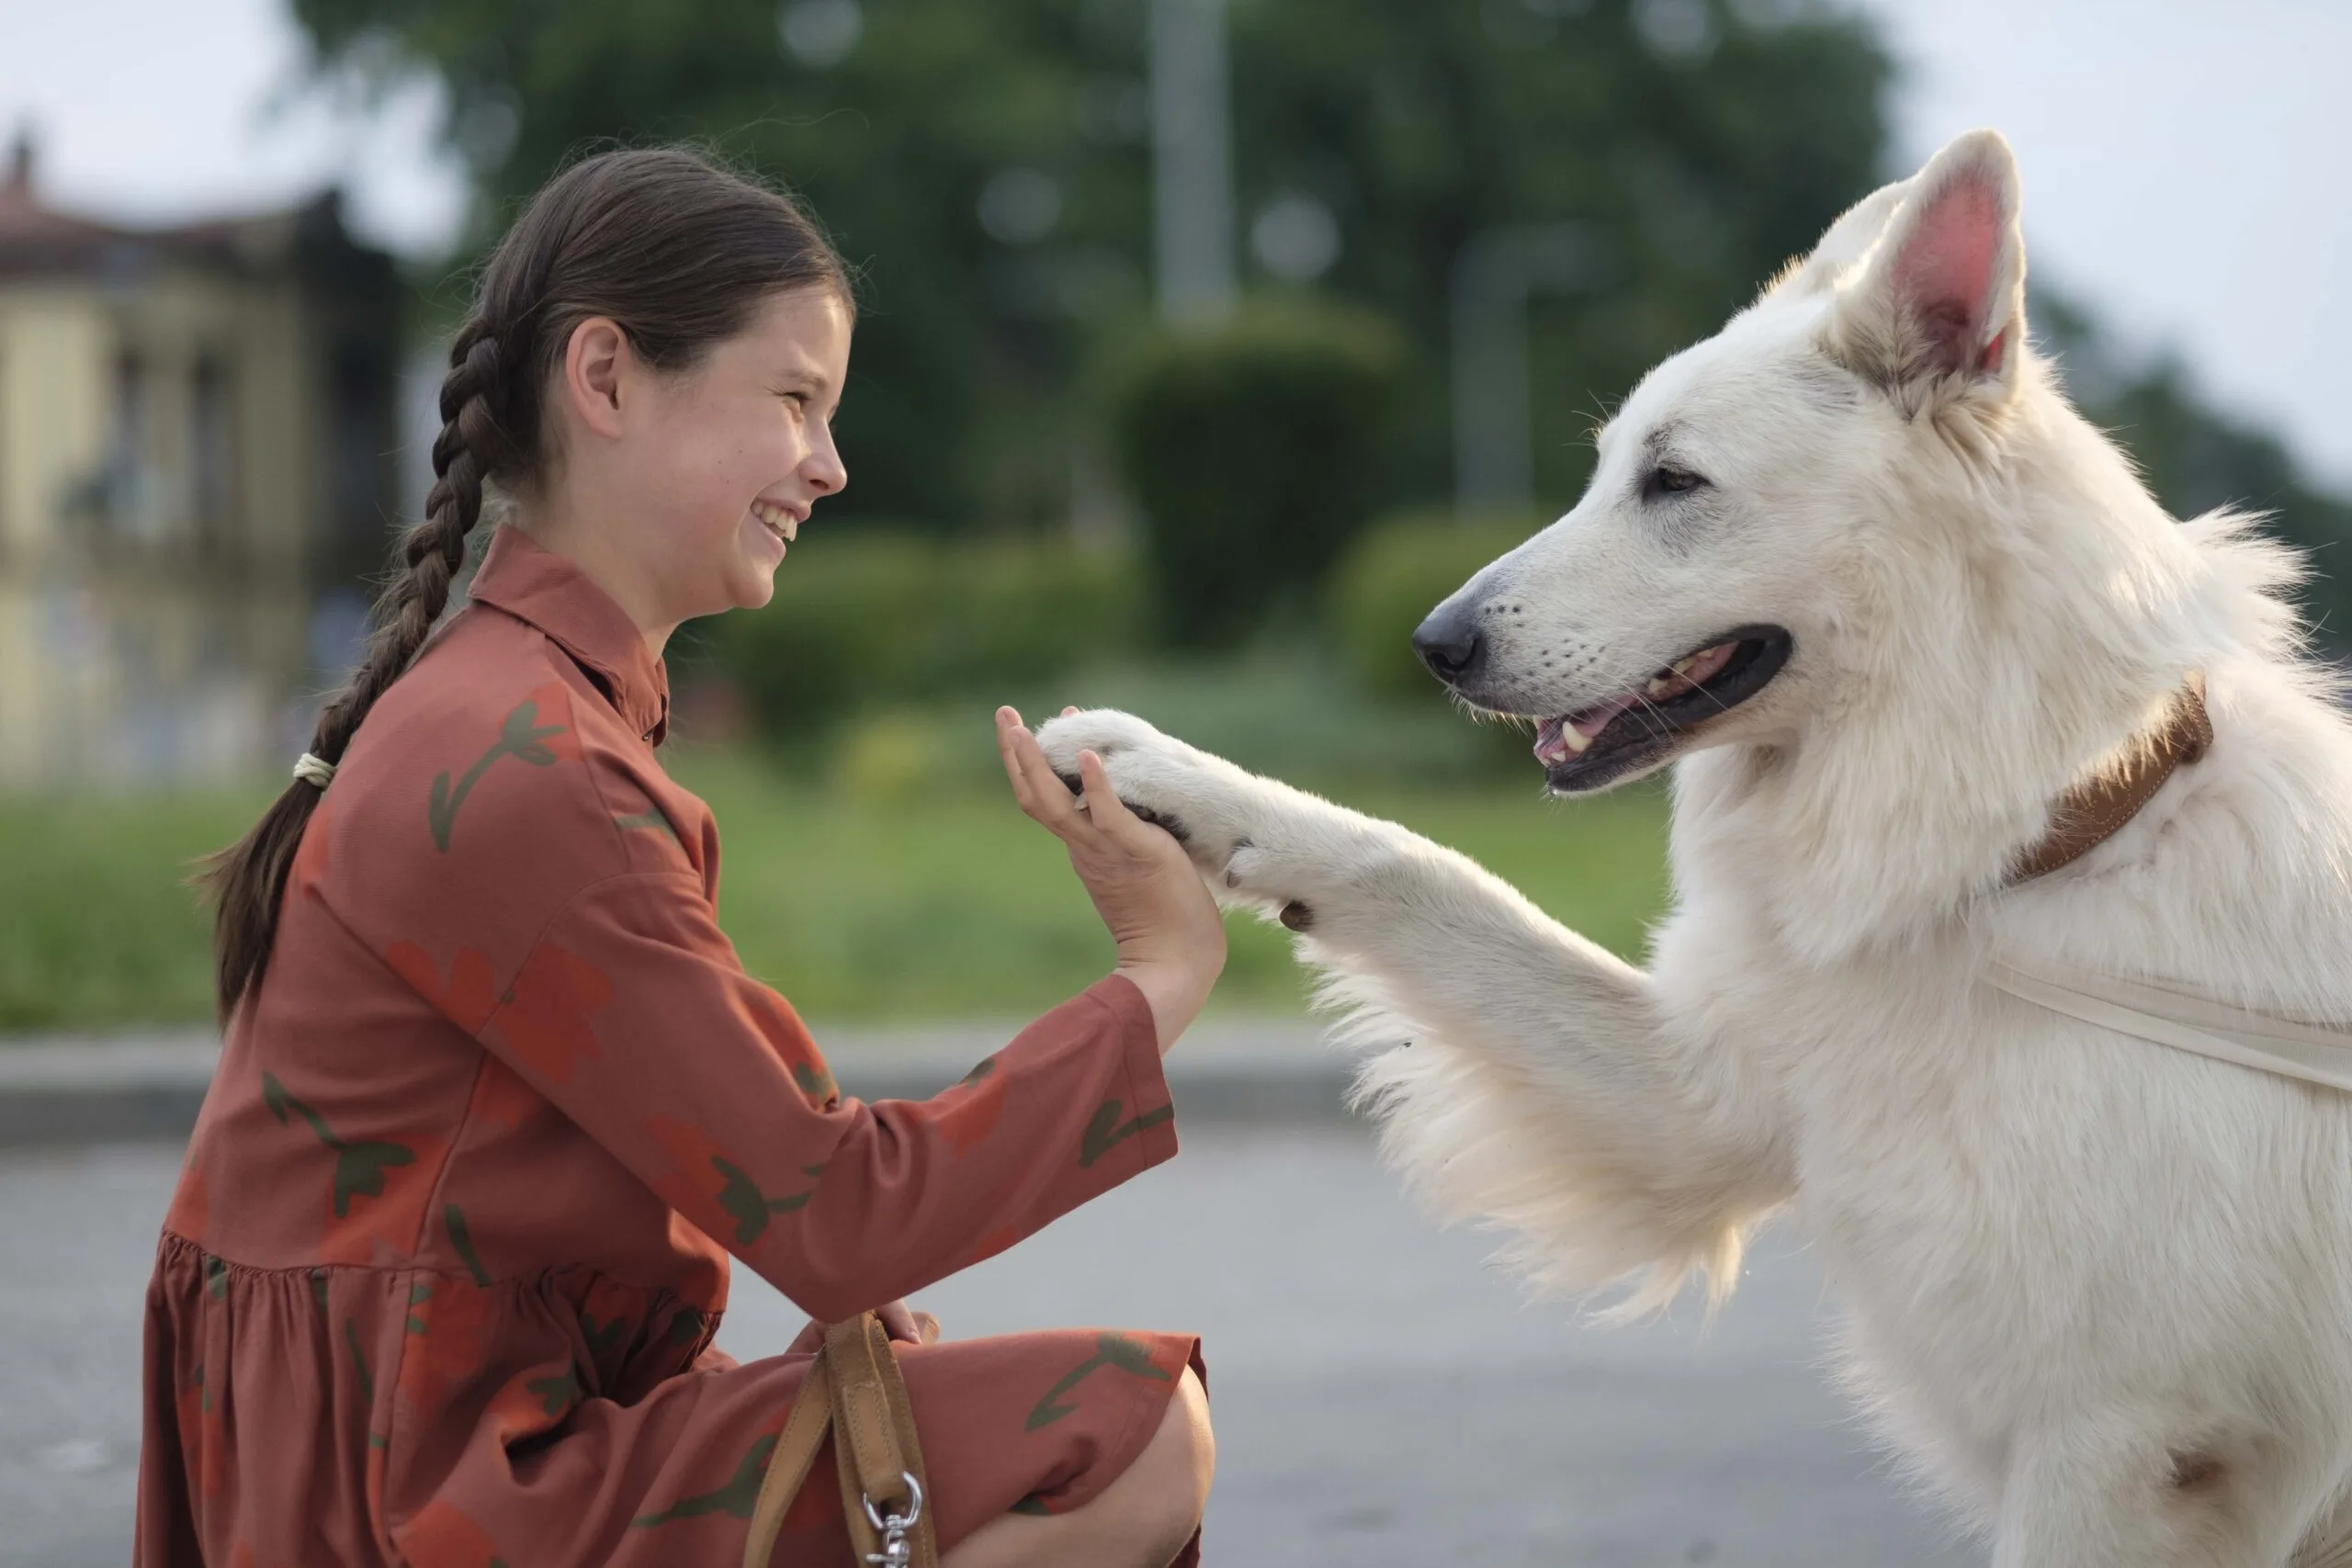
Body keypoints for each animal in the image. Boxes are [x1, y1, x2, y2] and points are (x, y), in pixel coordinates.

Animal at [1039, 129, 2352, 1561]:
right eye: (1606, 467)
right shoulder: (1697, 1101)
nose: (1431, 646)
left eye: (1673, 482)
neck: (2042, 849)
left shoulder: (2122, 1445)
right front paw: (1168, 780)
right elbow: (1418, 865)